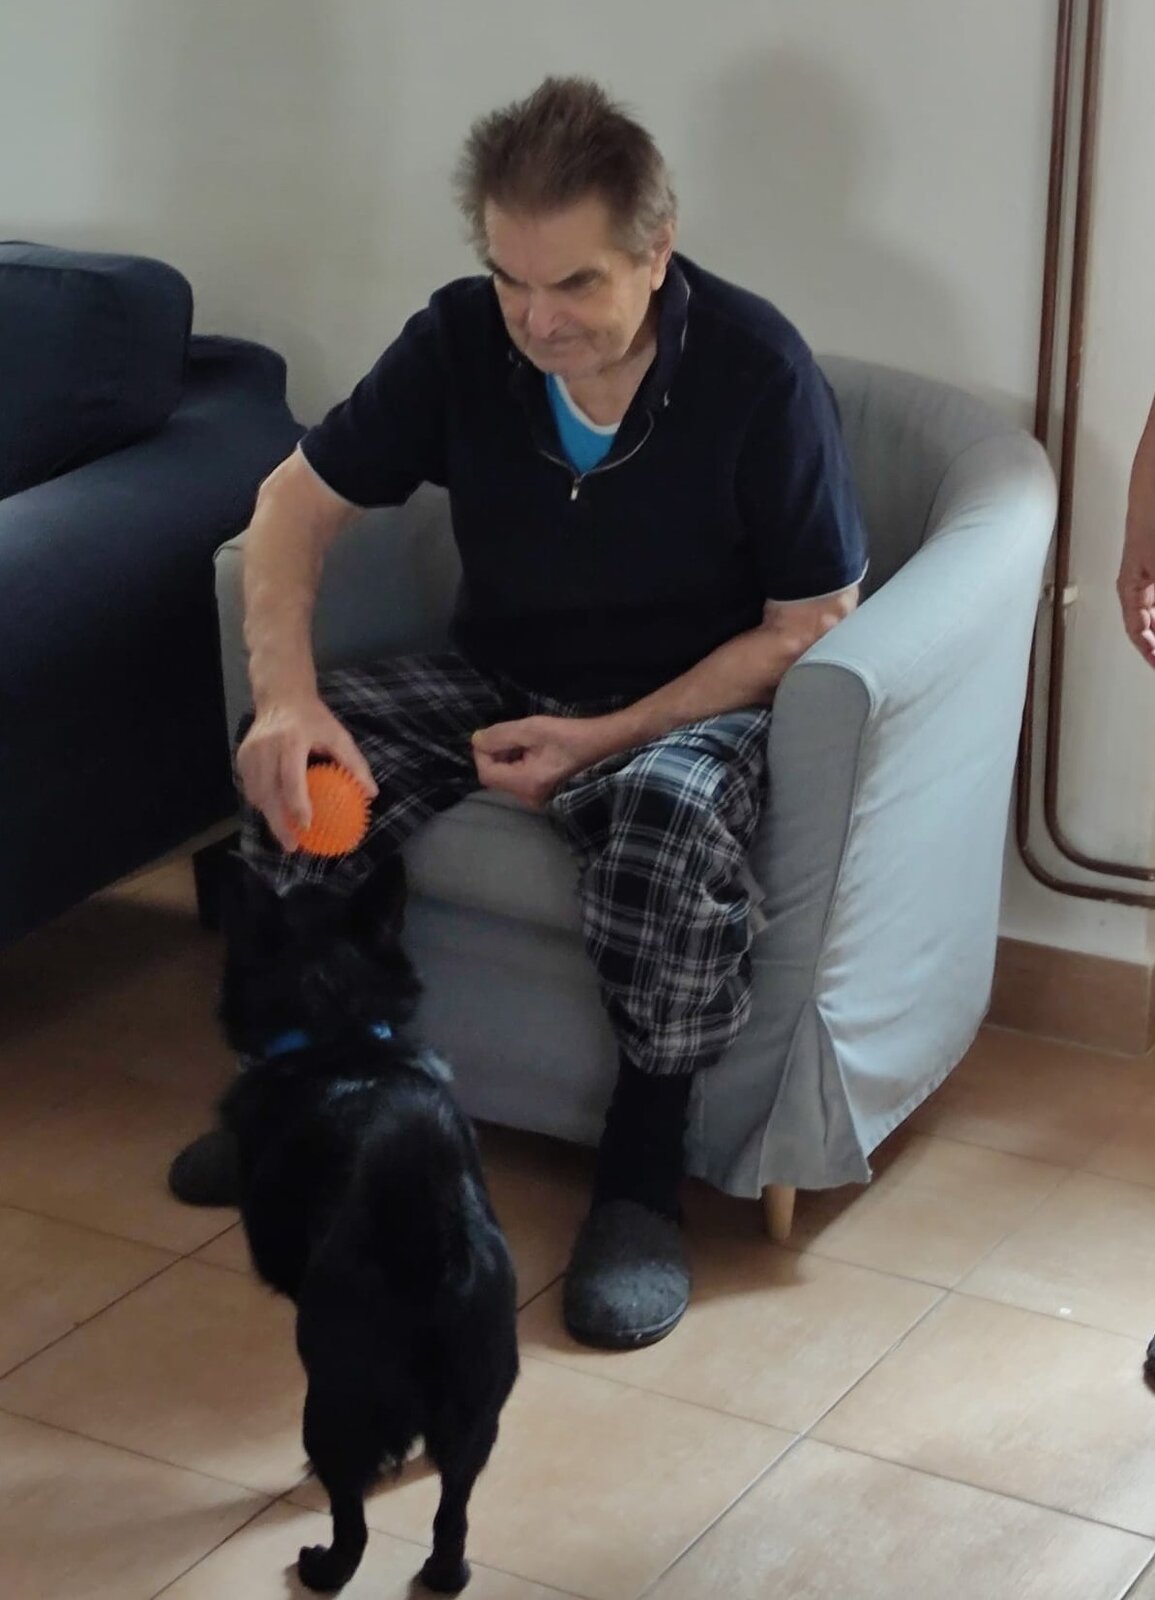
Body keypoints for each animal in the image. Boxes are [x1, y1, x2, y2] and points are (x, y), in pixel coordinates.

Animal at [215, 858, 519, 1594]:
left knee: (350, 1518)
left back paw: (322, 1568)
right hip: (478, 1405)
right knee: (452, 1509)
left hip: (331, 1401)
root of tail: (423, 1232)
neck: (337, 1034)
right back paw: (444, 1573)